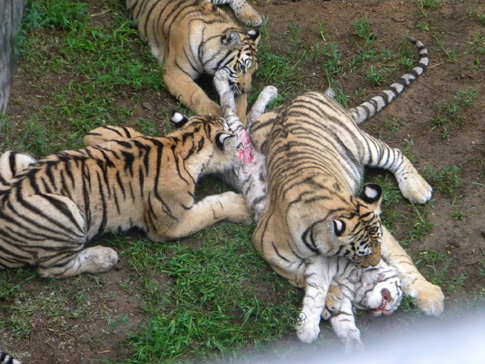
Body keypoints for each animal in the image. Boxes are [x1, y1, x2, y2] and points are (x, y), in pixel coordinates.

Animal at [0, 114, 250, 278]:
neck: (183, 140)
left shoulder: (97, 135)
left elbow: (120, 133)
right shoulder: (170, 225)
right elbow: (211, 209)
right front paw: (241, 205)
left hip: (15, 157)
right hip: (64, 211)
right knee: (52, 269)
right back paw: (105, 258)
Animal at [125, 0, 260, 121]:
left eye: (253, 72)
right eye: (242, 67)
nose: (246, 90)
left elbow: (241, 102)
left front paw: (241, 120)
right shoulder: (175, 72)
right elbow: (195, 95)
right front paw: (220, 114)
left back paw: (252, 16)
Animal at [212, 36, 442, 346]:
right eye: (362, 253)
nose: (392, 306)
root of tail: (307, 96)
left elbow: (403, 261)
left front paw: (429, 294)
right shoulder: (266, 246)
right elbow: (307, 277)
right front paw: (327, 305)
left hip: (359, 145)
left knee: (394, 153)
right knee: (237, 115)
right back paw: (229, 82)